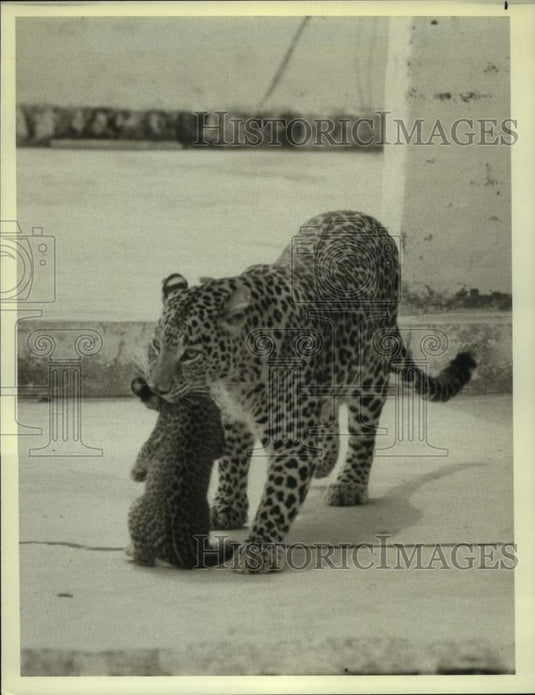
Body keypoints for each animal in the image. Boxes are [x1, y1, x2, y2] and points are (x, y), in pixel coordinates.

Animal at [126, 376, 232, 568]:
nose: (137, 385)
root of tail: (191, 554)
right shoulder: (219, 444)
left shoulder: (159, 430)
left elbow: (145, 450)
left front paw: (136, 473)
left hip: (135, 506)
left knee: (145, 559)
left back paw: (130, 552)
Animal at [143, 210, 476, 573]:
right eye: (157, 346)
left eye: (190, 353)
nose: (156, 387)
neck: (233, 376)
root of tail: (360, 214)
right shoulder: (233, 417)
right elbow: (232, 462)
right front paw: (227, 508)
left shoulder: (290, 440)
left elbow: (276, 498)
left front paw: (259, 549)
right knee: (327, 409)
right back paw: (325, 459)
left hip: (370, 374)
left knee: (362, 435)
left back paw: (349, 485)